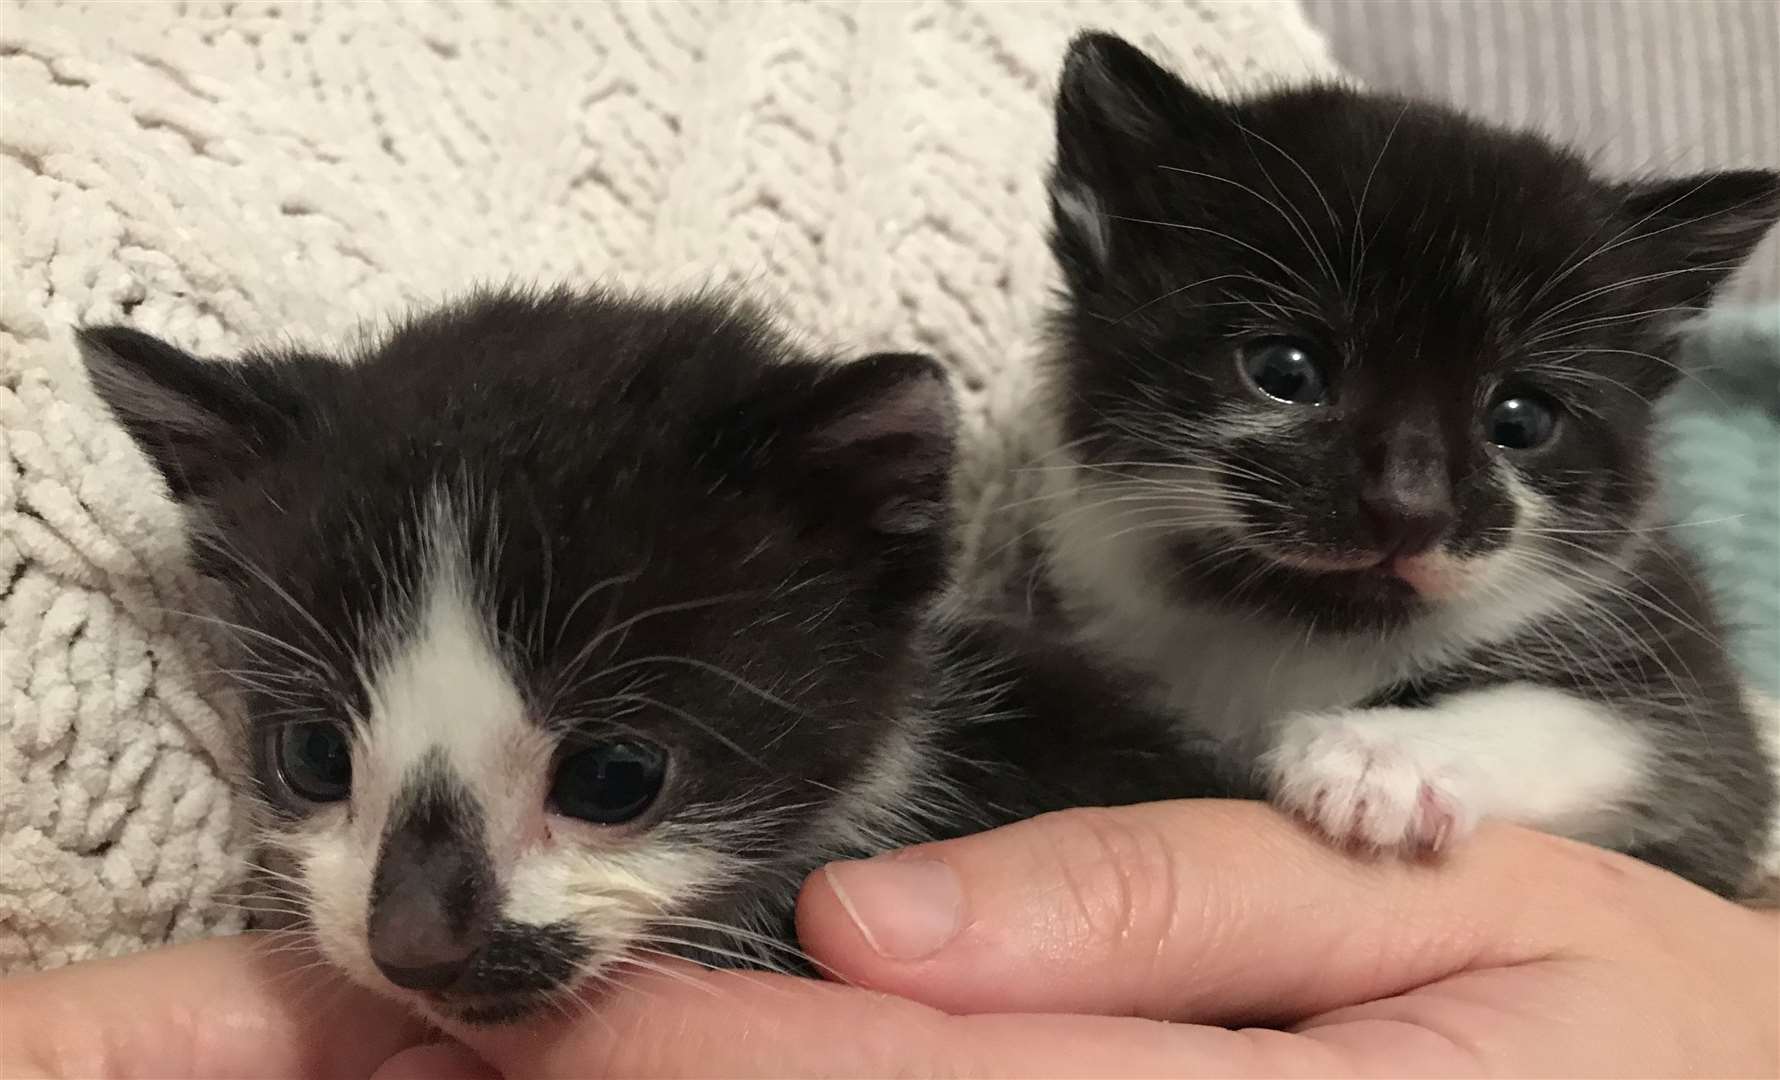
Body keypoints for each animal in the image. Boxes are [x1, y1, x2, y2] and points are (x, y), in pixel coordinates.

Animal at [1032, 29, 1780, 900]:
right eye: (1286, 372)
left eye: (1521, 420)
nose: (1409, 506)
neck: (1305, 632)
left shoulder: (1687, 691)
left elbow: (1637, 738)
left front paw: (1381, 758)